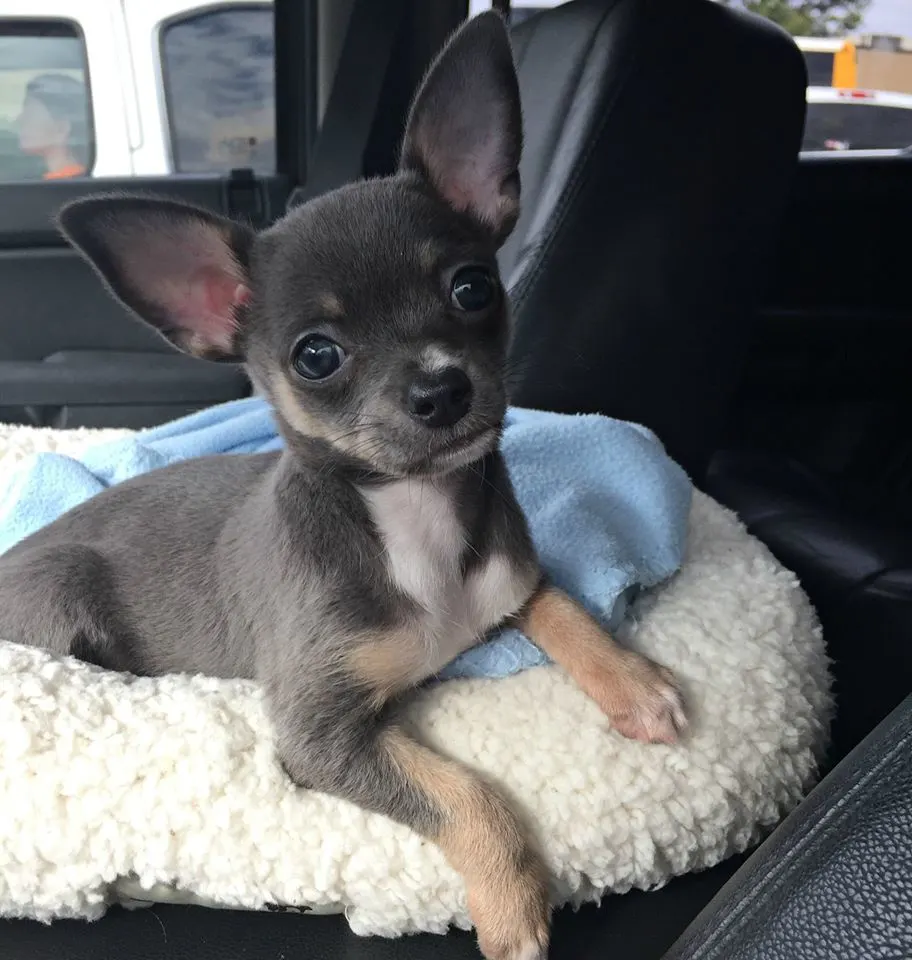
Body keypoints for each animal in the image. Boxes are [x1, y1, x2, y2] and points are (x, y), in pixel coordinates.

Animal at [0, 15, 684, 960]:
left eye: (472, 288)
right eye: (316, 355)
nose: (441, 391)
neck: (409, 517)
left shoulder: (511, 581)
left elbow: (566, 608)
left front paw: (635, 682)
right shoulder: (321, 736)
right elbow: (468, 796)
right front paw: (514, 906)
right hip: (61, 598)